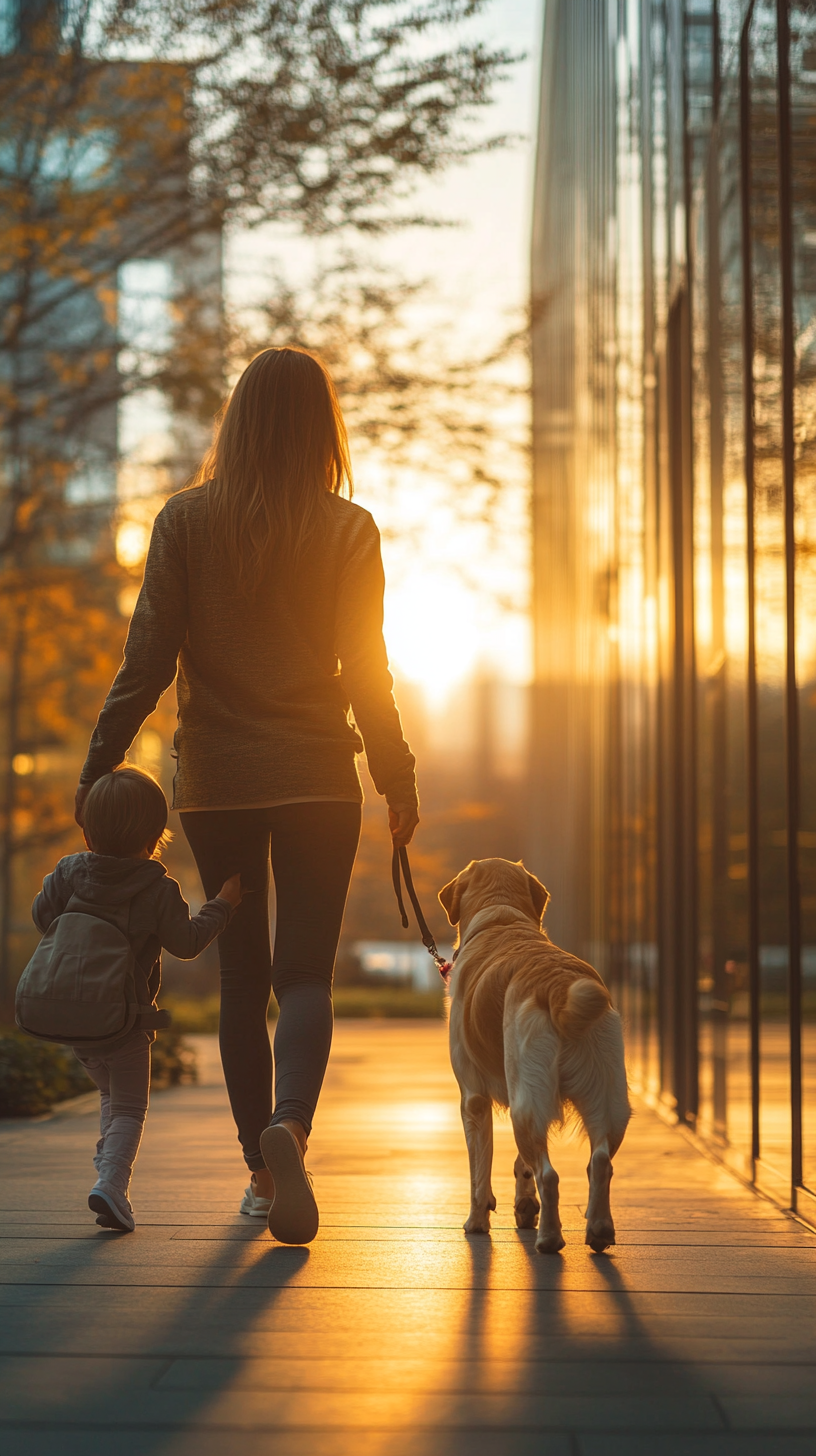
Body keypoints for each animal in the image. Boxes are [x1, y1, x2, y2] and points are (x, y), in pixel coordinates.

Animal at [440, 856, 632, 1257]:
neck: (501, 918)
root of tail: (557, 985)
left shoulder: (473, 1098)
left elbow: (479, 1172)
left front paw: (477, 1222)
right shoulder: (521, 1095)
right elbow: (520, 1161)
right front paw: (524, 1206)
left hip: (526, 1100)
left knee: (551, 1174)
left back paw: (549, 1239)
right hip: (604, 1101)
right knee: (599, 1162)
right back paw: (599, 1229)